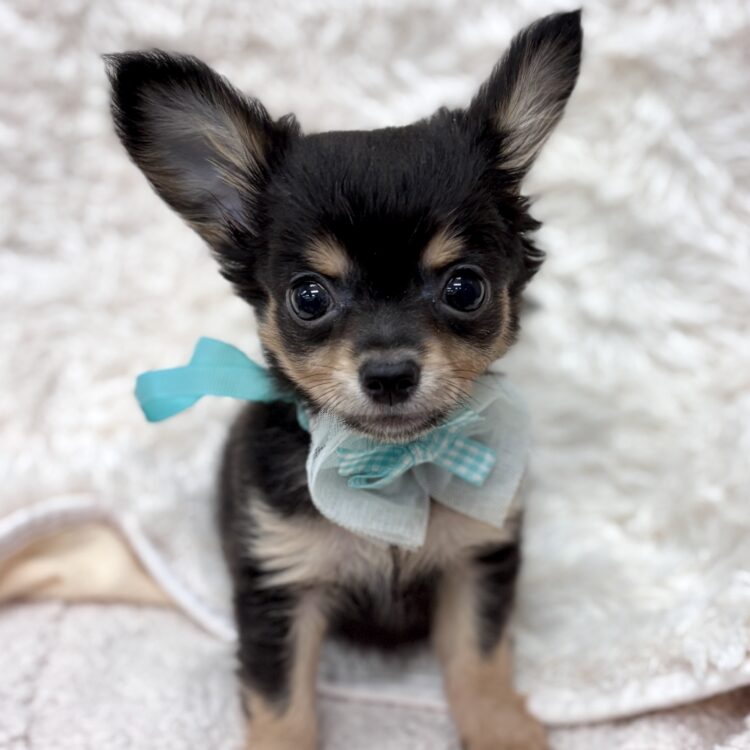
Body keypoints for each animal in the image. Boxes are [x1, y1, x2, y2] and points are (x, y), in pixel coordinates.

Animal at [106, 10, 582, 749]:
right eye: (309, 297)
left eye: (465, 287)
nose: (389, 374)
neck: (390, 463)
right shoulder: (279, 587)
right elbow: (281, 702)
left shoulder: (476, 559)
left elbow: (478, 658)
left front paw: (504, 731)